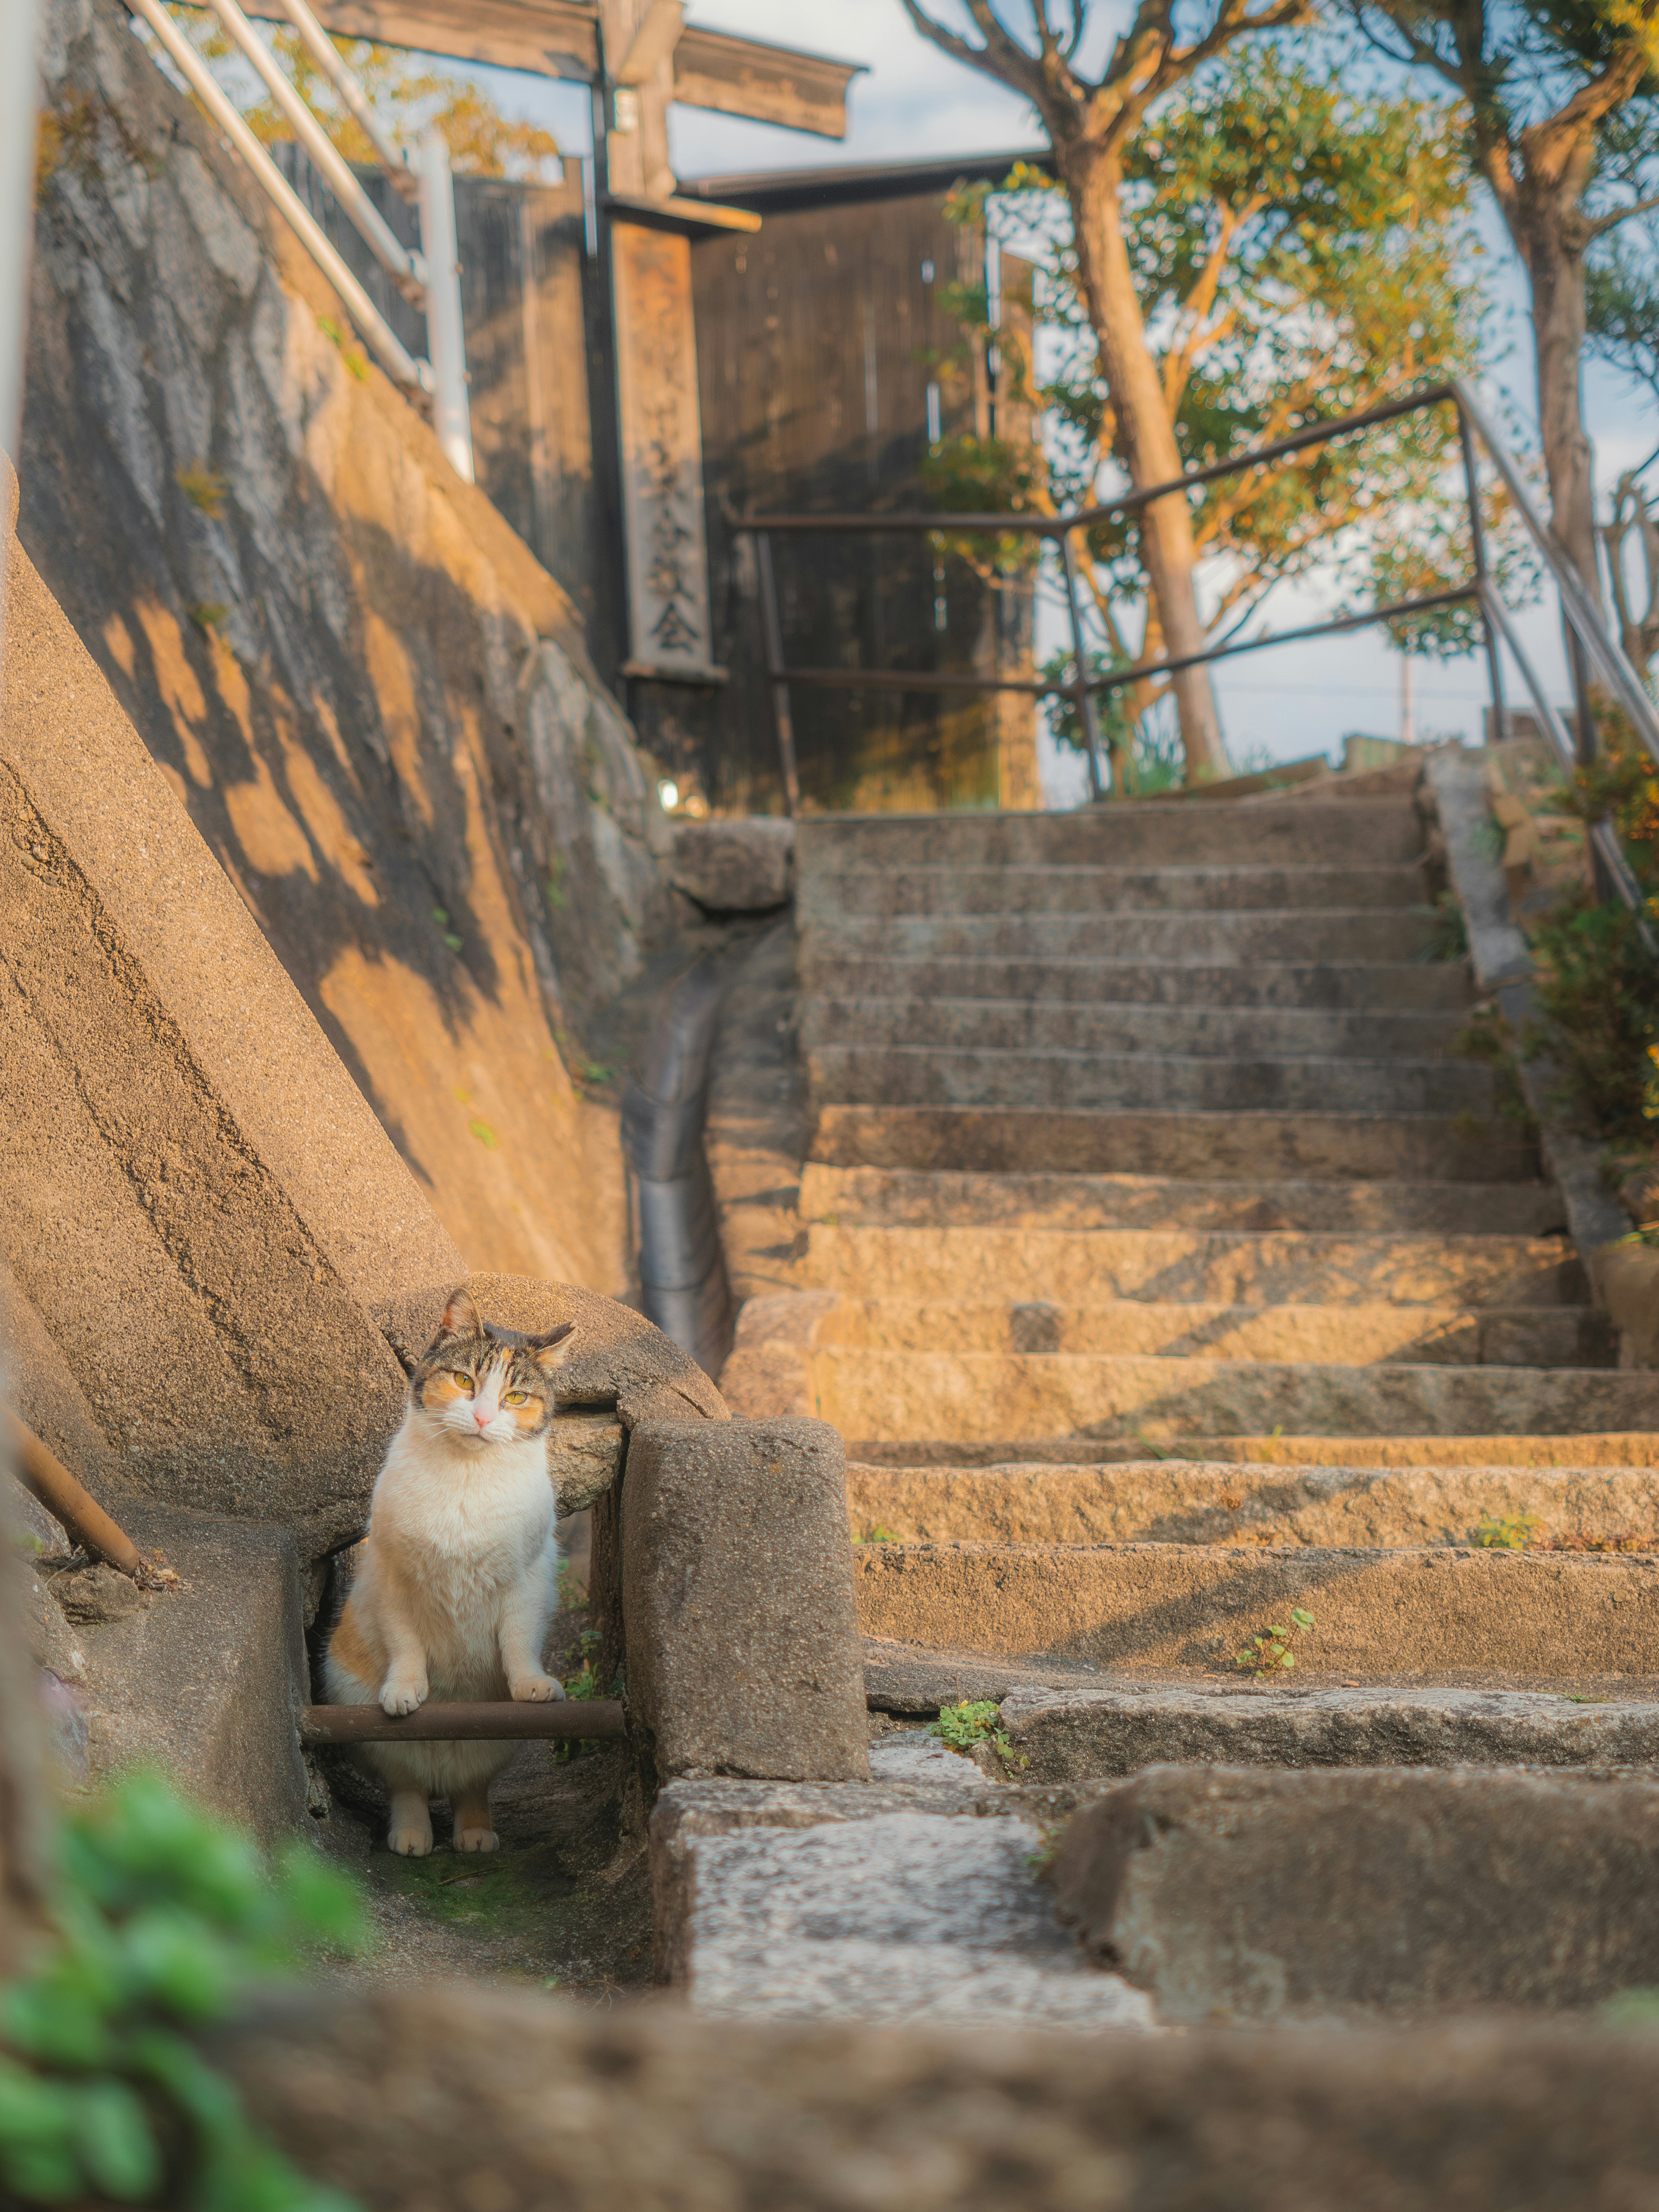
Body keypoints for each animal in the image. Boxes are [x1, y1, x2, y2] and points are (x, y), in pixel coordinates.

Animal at [327, 1292, 579, 1858]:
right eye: (465, 1380)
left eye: (515, 1395)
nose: (483, 1417)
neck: (467, 1476)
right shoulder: (393, 1577)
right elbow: (405, 1644)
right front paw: (405, 1689)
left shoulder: (527, 1581)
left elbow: (519, 1640)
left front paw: (532, 1684)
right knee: (408, 1783)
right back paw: (412, 1834)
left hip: (489, 1744)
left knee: (471, 1785)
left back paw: (475, 1832)